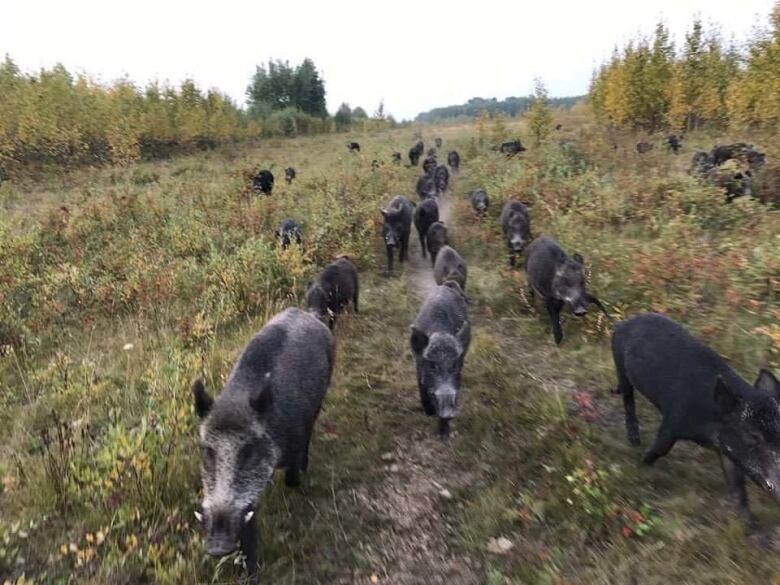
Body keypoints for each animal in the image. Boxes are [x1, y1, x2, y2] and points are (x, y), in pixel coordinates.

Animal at [193, 308, 334, 576]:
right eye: (208, 451)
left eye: (249, 451)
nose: (217, 546)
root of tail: (308, 314)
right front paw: (249, 574)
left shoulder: (296, 436)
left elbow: (291, 477)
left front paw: (300, 481)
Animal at [412, 280, 472, 436]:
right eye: (432, 365)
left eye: (454, 365)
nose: (449, 412)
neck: (441, 334)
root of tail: (446, 285)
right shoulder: (418, 366)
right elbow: (422, 388)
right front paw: (429, 413)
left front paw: (444, 435)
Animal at [612, 314, 776, 524]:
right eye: (753, 435)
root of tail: (624, 323)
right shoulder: (673, 420)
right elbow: (661, 448)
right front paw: (642, 464)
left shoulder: (727, 450)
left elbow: (737, 484)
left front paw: (749, 525)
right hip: (620, 366)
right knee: (628, 398)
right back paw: (634, 440)